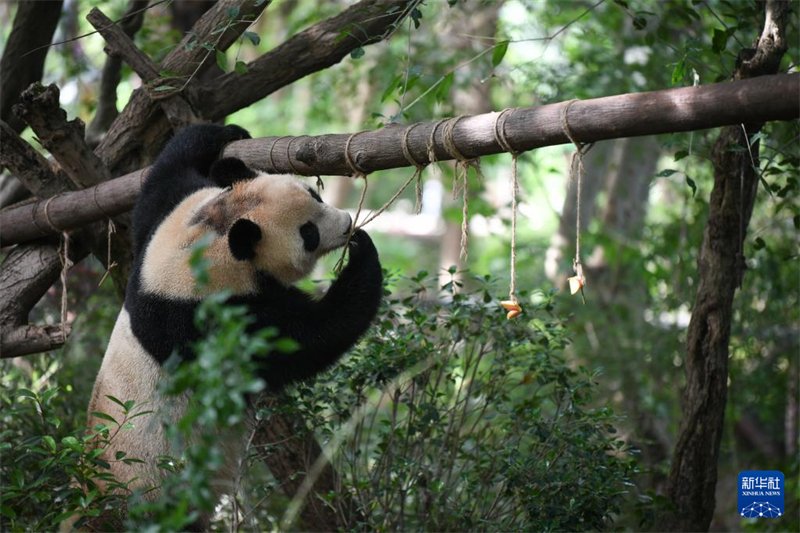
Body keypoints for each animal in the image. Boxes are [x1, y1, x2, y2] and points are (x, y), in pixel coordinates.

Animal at [83, 122, 382, 524]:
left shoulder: (161, 229)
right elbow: (310, 338)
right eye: (308, 233)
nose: (348, 224)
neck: (212, 242)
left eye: (314, 194)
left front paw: (226, 131)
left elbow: (165, 176)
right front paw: (363, 253)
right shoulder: (213, 320)